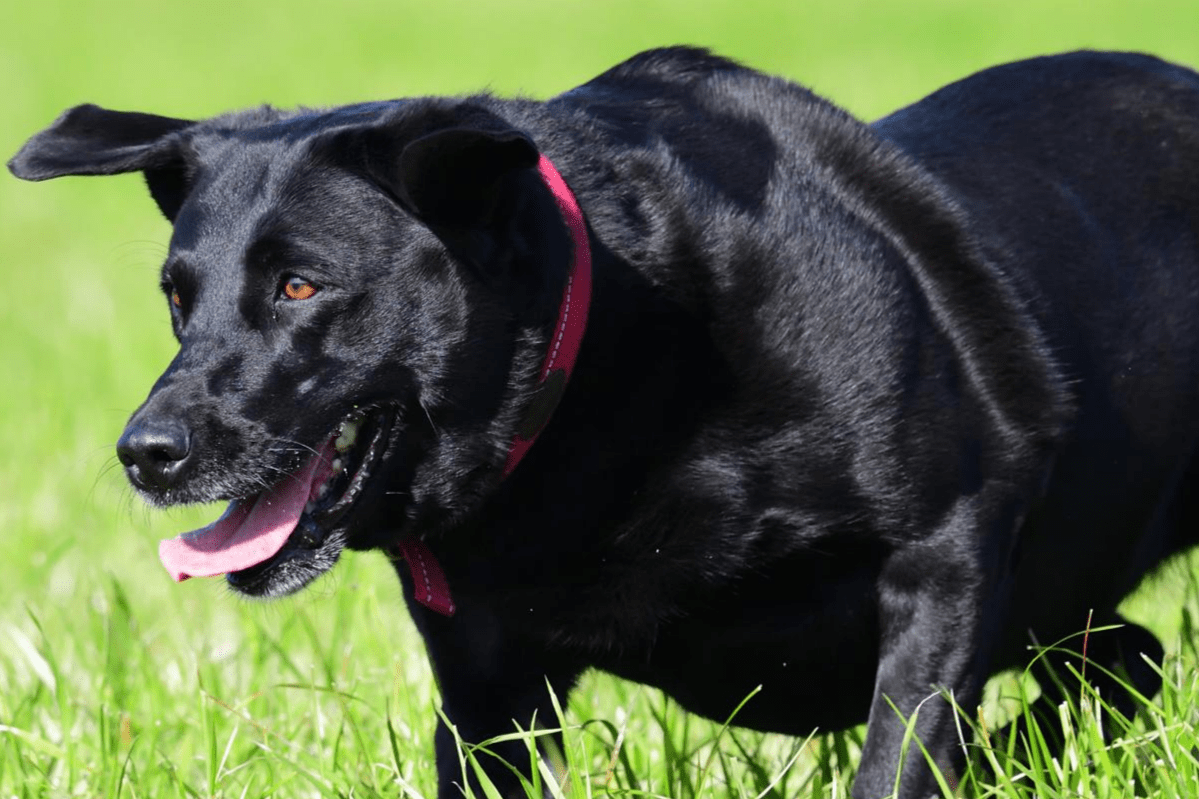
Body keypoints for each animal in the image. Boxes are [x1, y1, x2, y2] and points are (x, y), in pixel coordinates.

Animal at [9, 48, 1199, 791]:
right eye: (178, 296)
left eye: (300, 286)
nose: (146, 453)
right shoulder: (487, 689)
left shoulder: (945, 545)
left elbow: (895, 755)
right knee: (1126, 660)